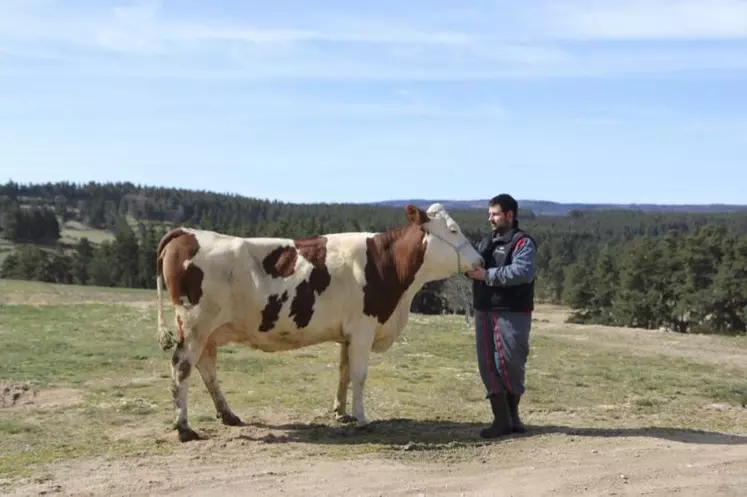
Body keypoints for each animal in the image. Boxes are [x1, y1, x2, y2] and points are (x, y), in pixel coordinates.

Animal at [157, 202, 486, 442]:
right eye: (453, 230)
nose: (481, 261)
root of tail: (186, 233)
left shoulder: (348, 333)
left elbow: (344, 373)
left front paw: (341, 412)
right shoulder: (364, 328)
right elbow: (360, 375)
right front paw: (362, 419)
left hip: (209, 331)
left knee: (206, 367)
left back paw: (228, 415)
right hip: (195, 325)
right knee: (181, 367)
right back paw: (184, 428)